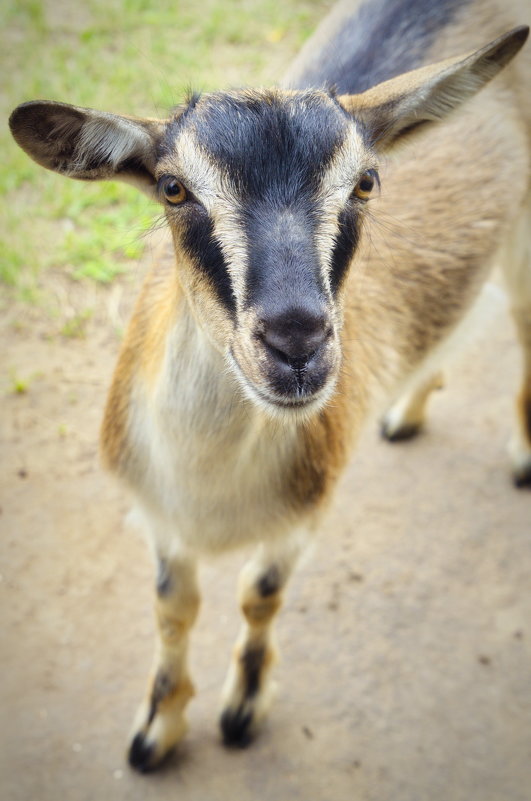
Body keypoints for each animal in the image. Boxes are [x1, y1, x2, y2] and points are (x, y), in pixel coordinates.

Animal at [9, 0, 531, 776]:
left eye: (366, 181)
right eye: (173, 188)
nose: (295, 342)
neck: (211, 493)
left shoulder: (302, 517)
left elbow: (260, 596)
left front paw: (242, 710)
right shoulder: (160, 521)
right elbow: (172, 608)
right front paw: (156, 729)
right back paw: (405, 411)